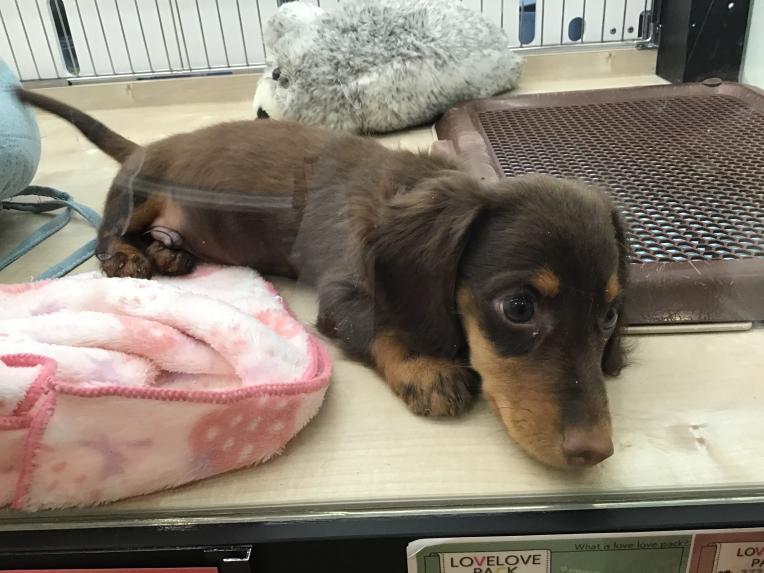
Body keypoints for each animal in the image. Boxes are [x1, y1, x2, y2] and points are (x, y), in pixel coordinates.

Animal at [17, 88, 629, 469]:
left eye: (609, 314)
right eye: (519, 308)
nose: (595, 452)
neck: (416, 187)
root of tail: (144, 146)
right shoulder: (342, 295)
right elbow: (382, 326)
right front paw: (427, 368)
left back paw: (170, 254)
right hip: (140, 191)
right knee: (108, 233)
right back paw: (129, 256)